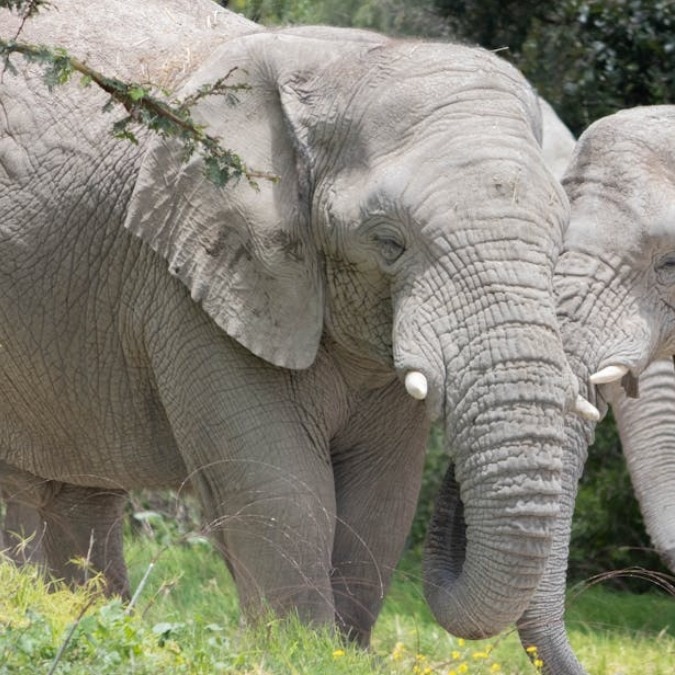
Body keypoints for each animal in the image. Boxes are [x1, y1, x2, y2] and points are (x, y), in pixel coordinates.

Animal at [0, 0, 597, 645]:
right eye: (389, 242)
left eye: (560, 239)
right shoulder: (191, 281)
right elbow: (279, 487)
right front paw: (298, 648)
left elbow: (382, 495)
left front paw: (342, 650)